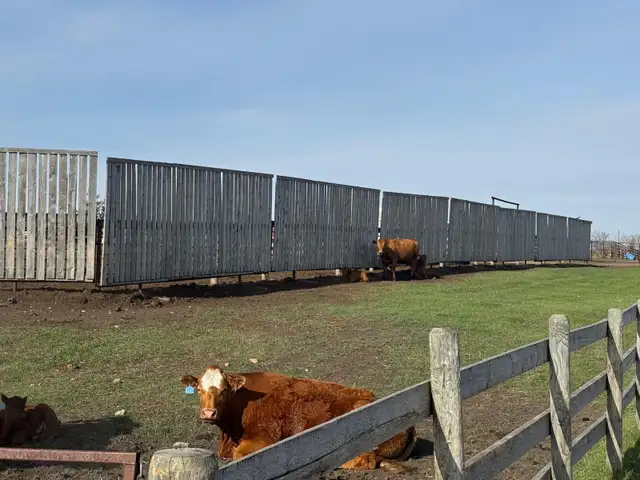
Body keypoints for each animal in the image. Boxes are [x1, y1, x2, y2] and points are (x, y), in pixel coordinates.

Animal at [180, 366, 416, 471]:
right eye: (199, 389)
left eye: (224, 390)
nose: (208, 413)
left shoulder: (265, 438)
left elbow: (240, 454)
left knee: (364, 459)